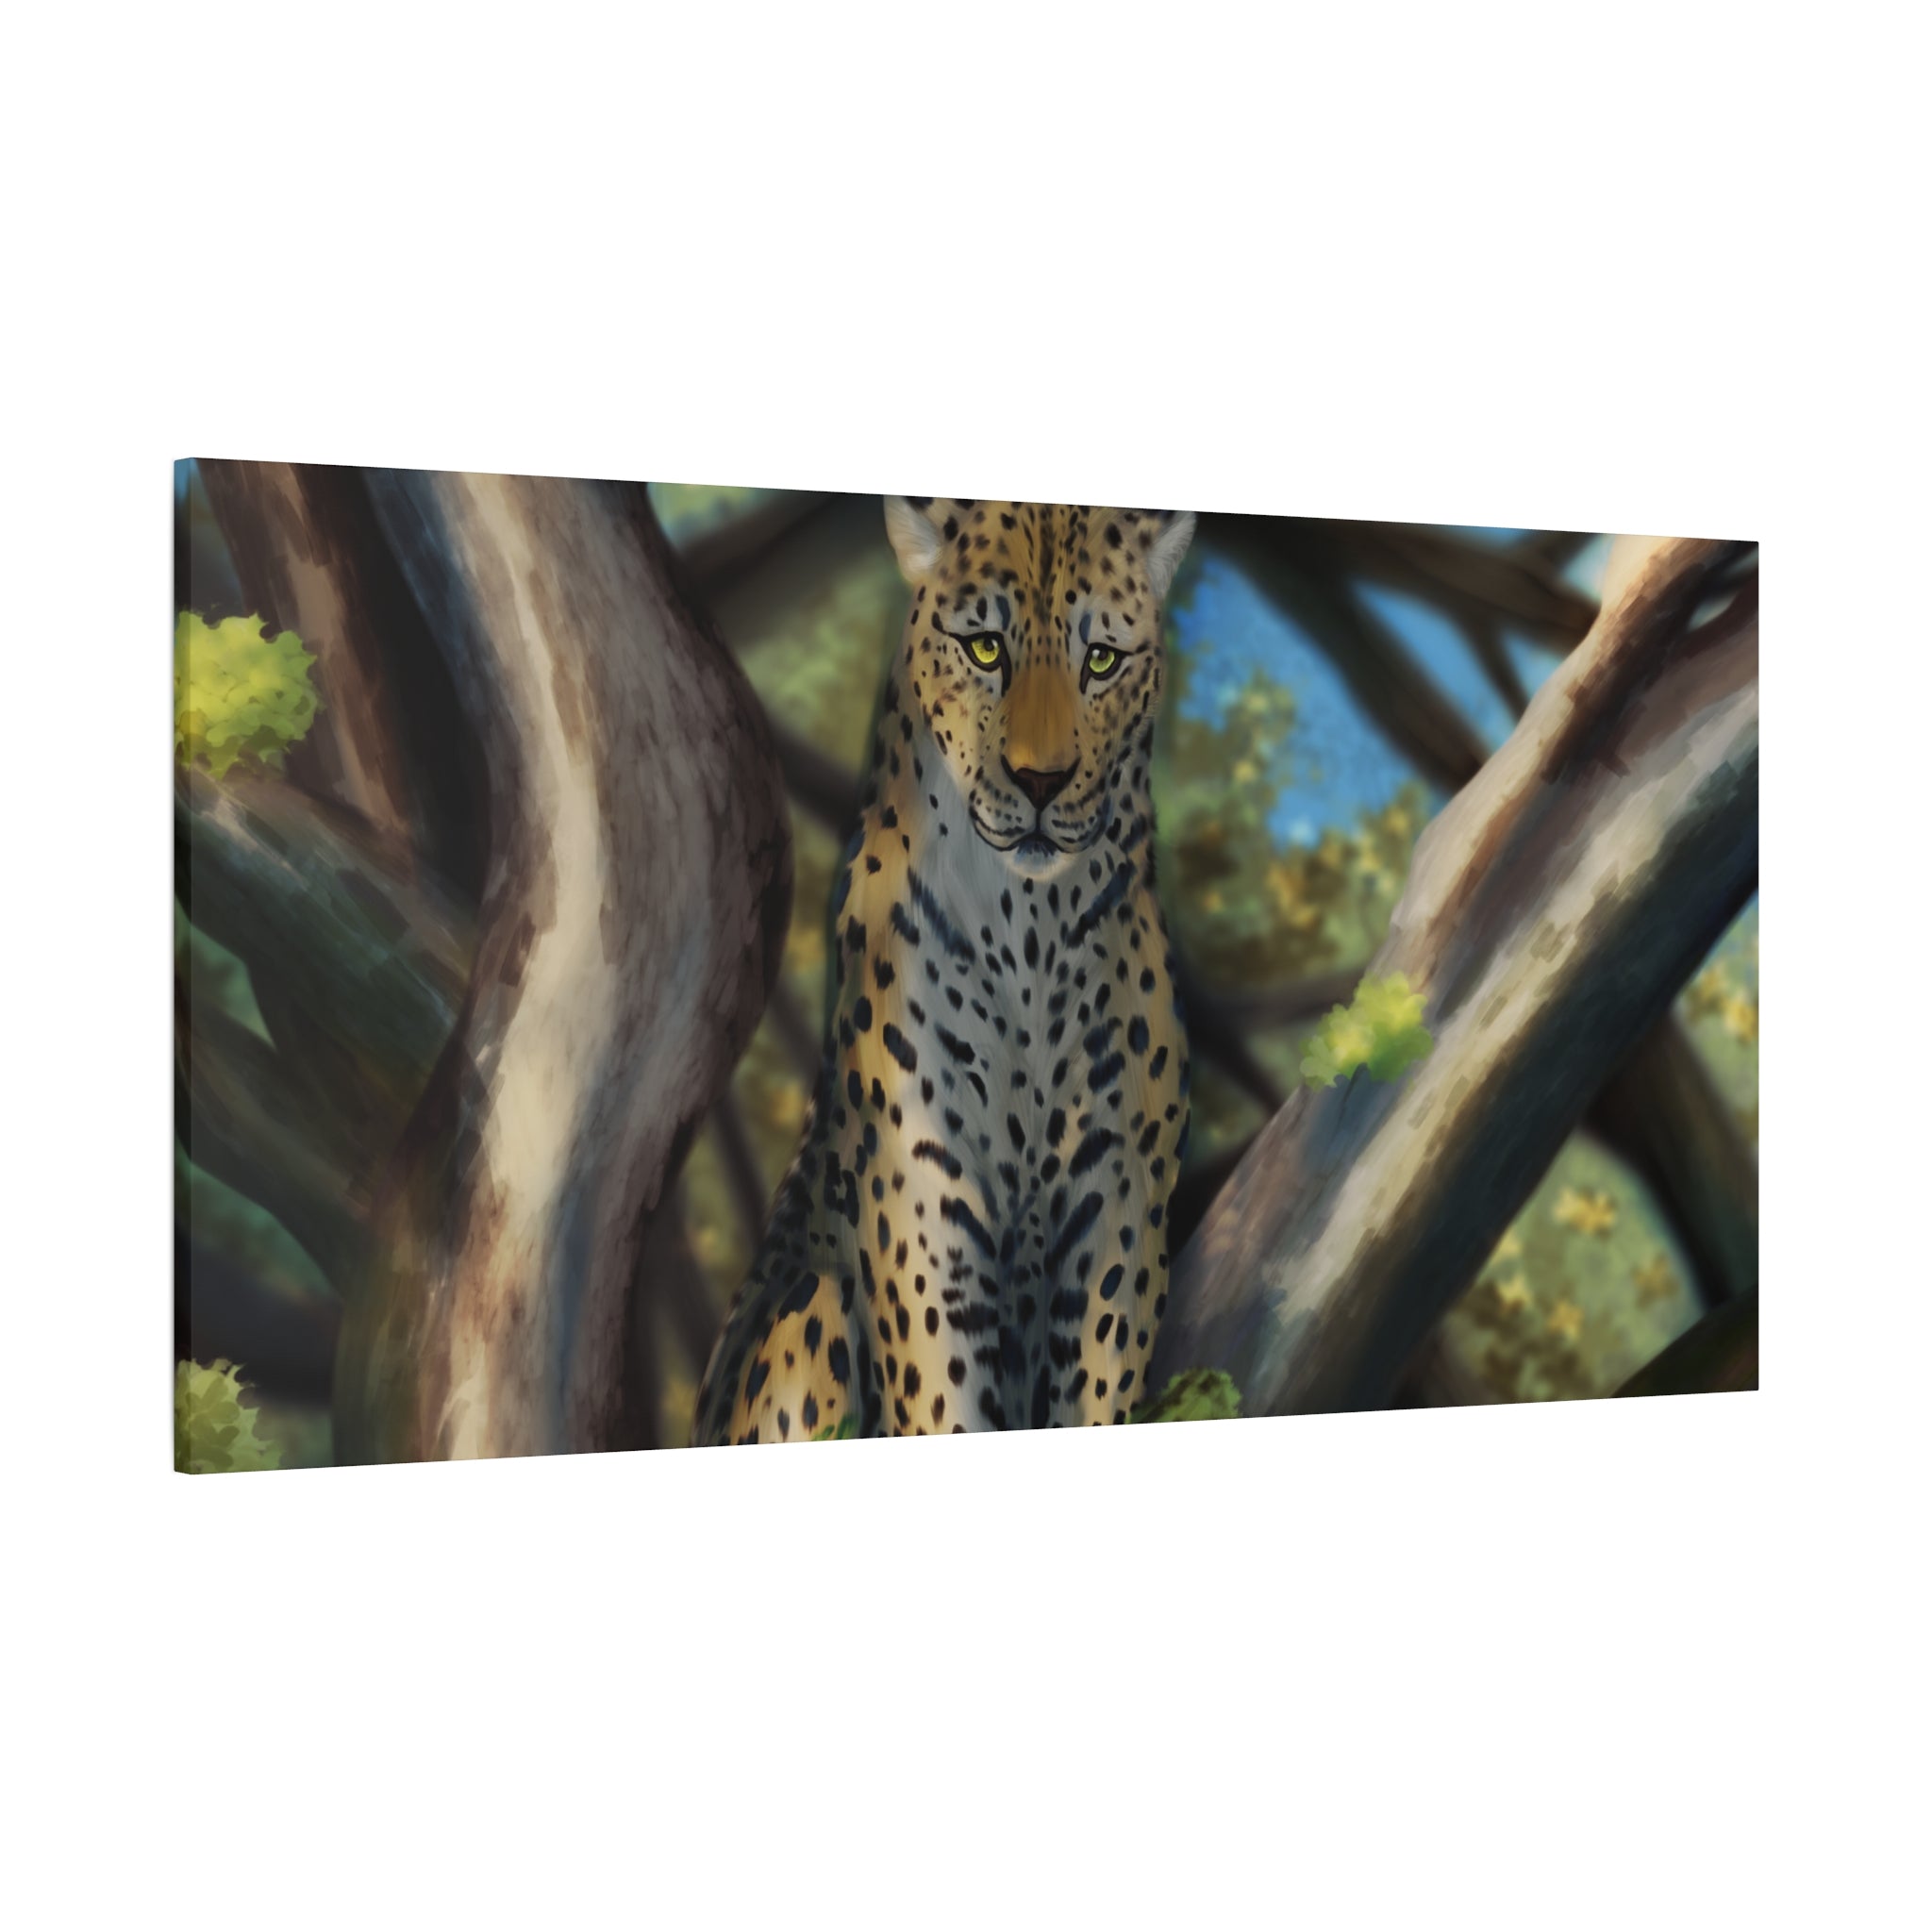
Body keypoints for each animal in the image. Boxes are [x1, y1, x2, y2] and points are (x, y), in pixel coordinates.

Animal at [692, 496, 1196, 1443]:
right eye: (985, 648)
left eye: (1101, 660)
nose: (1042, 781)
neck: (1030, 929)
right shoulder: (923, 1200)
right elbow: (941, 1395)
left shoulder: (1117, 1199)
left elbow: (1098, 1385)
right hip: (807, 1312)